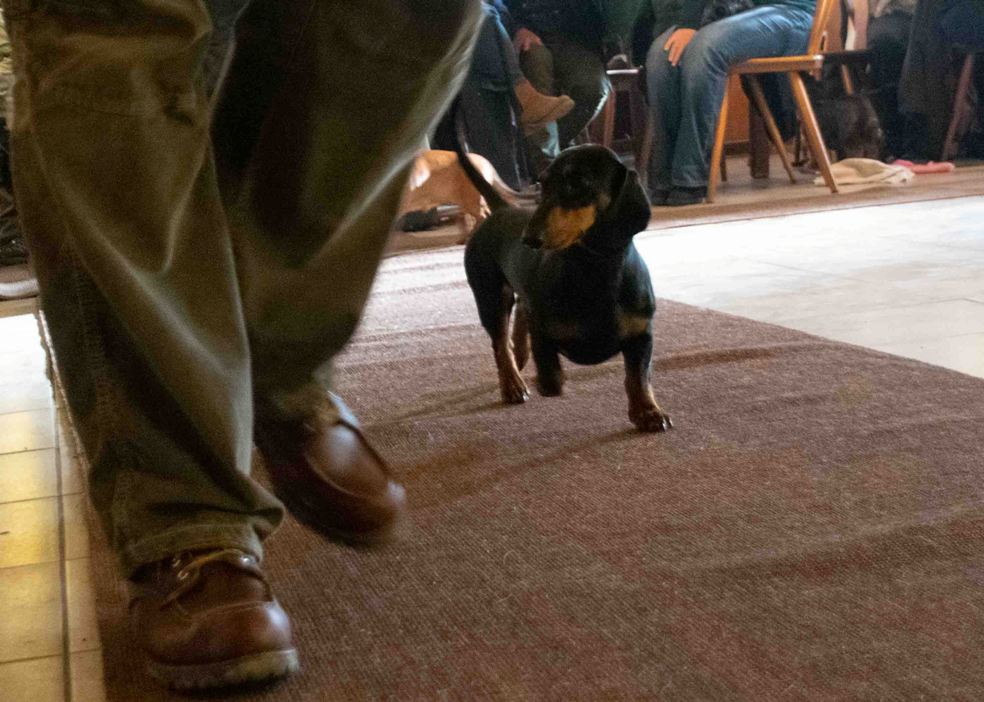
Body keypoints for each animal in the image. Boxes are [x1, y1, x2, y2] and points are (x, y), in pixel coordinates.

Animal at [458, 131, 672, 432]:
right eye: (543, 184)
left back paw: (520, 355)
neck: (596, 270)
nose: (530, 239)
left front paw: (648, 411)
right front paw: (547, 381)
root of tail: (500, 209)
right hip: (490, 296)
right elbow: (547, 361)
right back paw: (512, 383)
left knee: (519, 315)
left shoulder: (642, 335)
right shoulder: (542, 327)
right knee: (500, 343)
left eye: (577, 184)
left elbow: (638, 376)